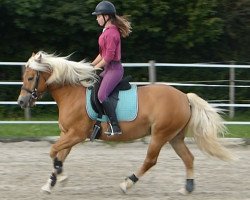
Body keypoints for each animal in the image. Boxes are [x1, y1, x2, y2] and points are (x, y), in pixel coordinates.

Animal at [16, 50, 233, 195]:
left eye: (30, 77)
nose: (21, 102)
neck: (72, 94)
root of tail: (184, 97)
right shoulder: (67, 134)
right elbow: (59, 155)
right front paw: (51, 182)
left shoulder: (76, 134)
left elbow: (53, 151)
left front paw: (61, 177)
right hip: (175, 137)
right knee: (188, 158)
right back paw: (187, 188)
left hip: (160, 135)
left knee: (150, 160)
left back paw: (127, 183)